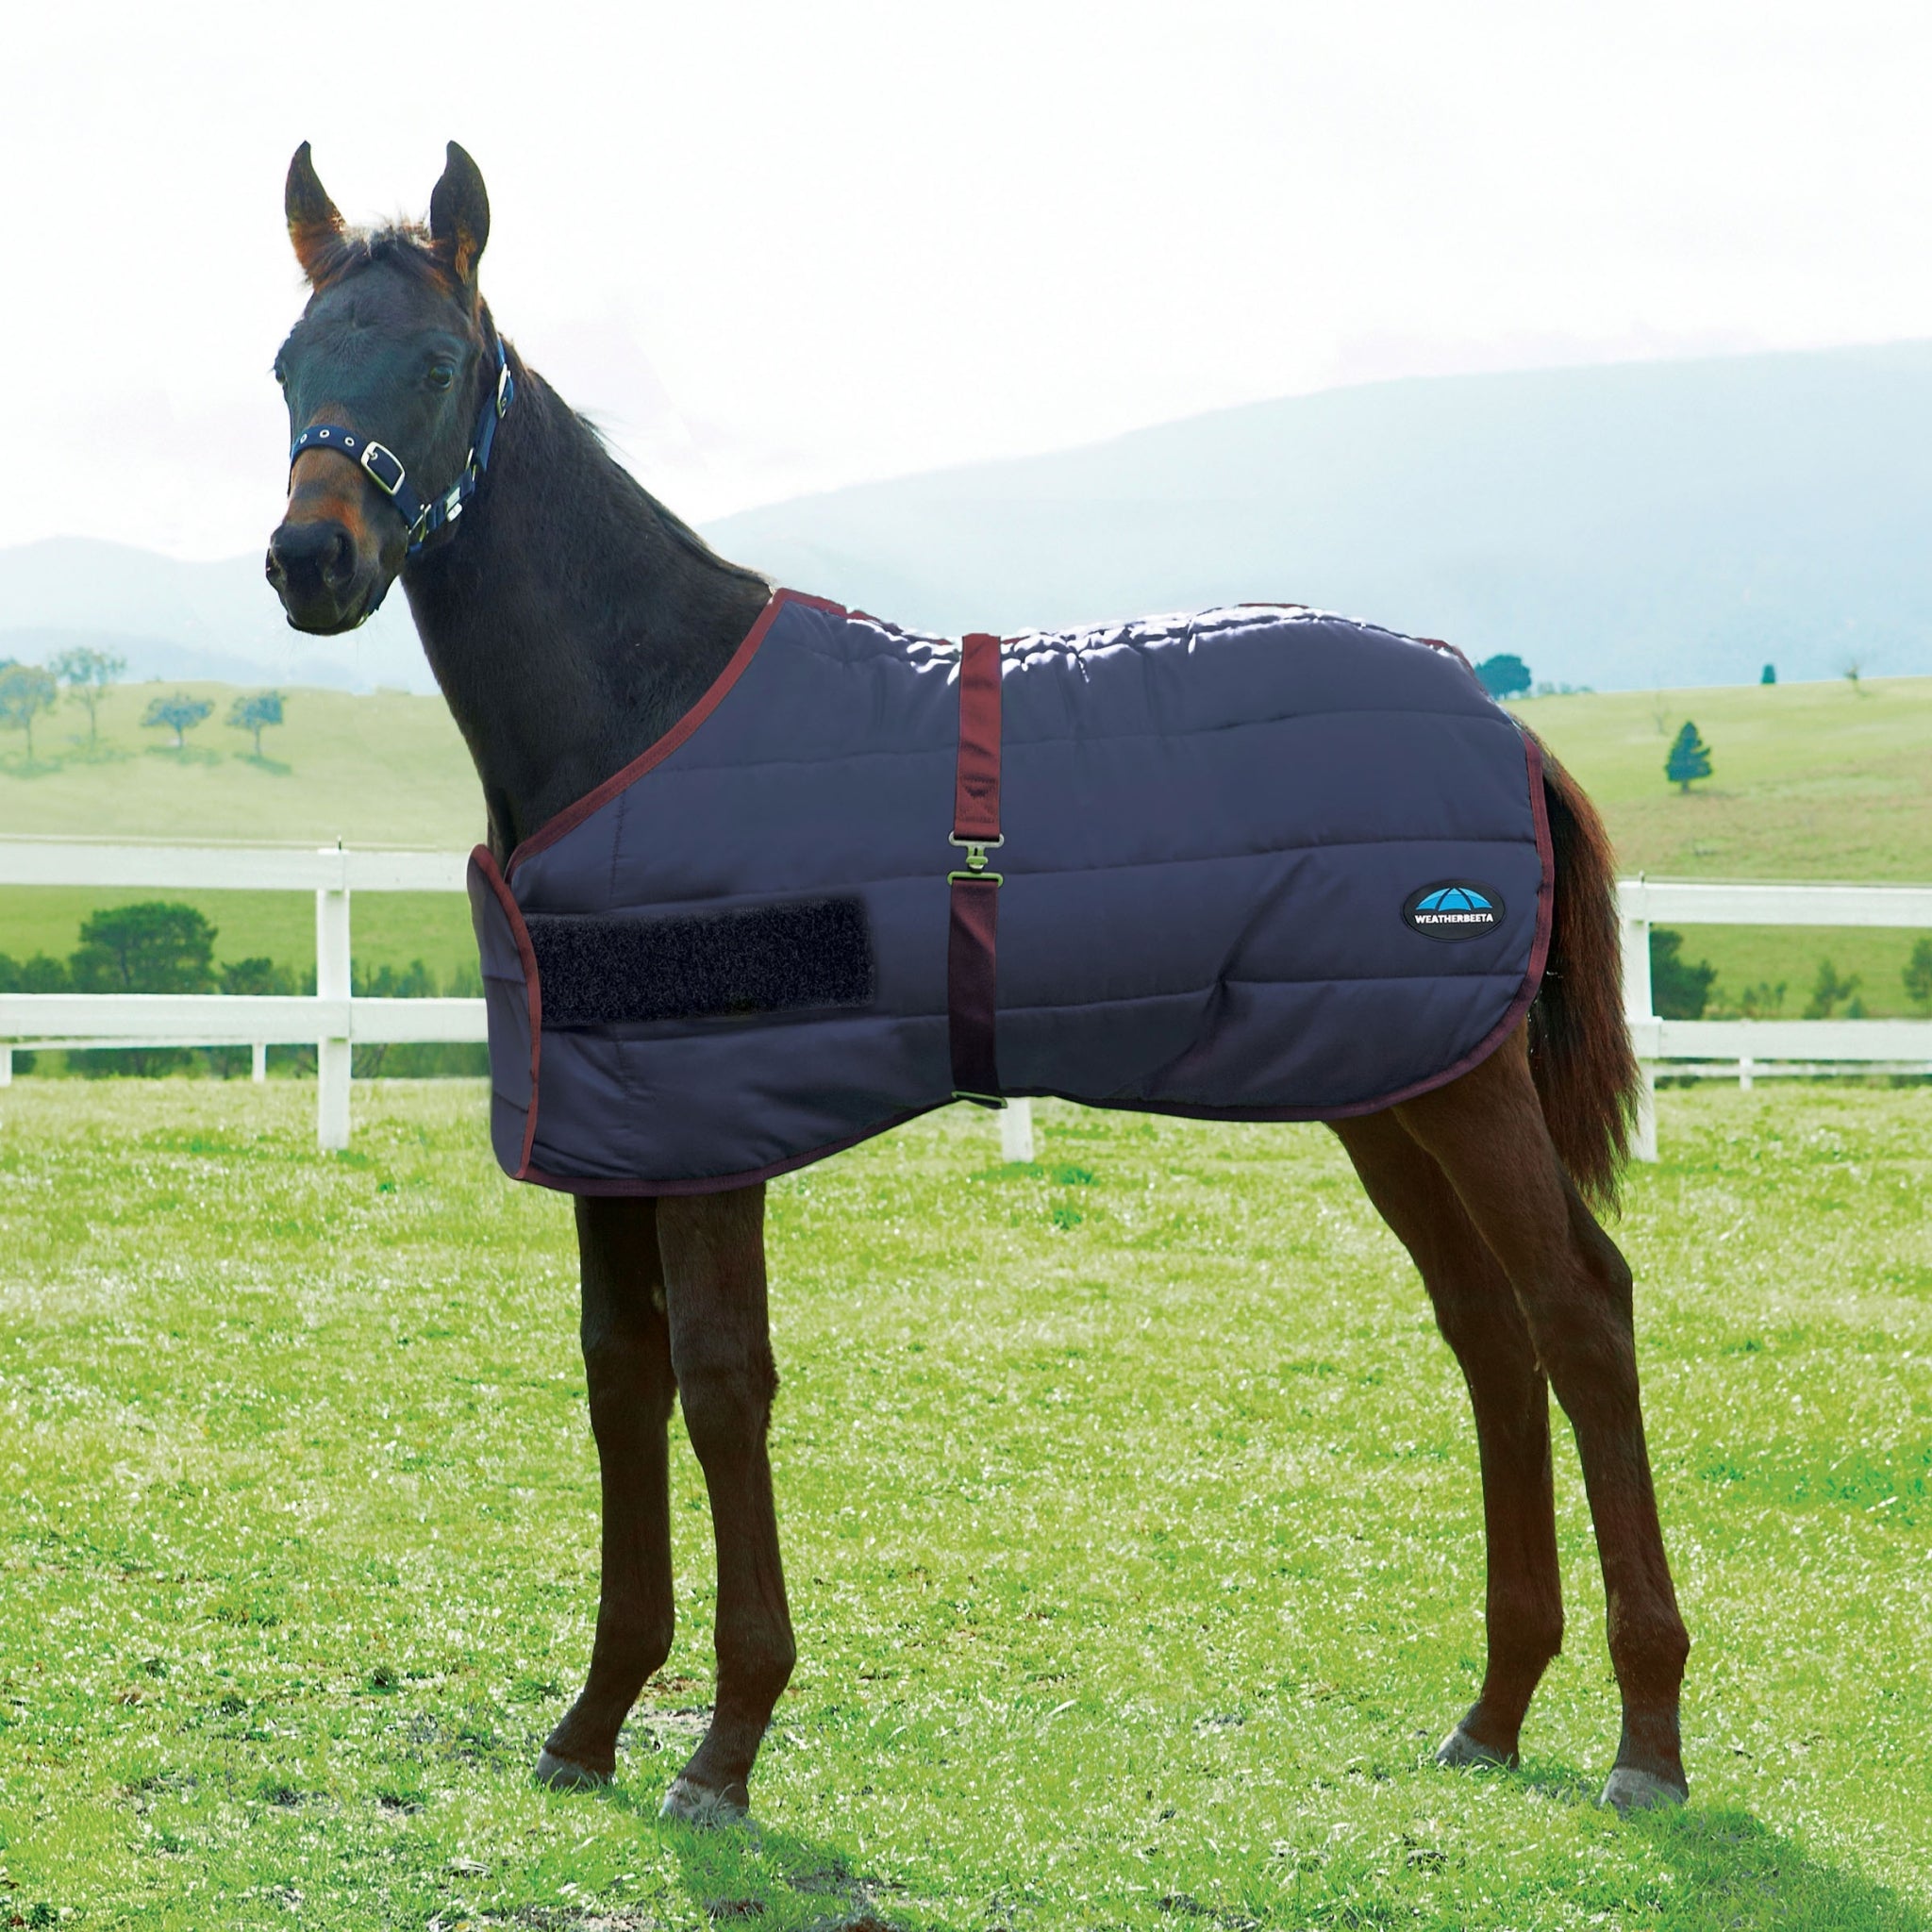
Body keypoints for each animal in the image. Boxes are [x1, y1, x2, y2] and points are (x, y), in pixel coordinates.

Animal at [265, 141, 1690, 1824]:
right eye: (287, 362)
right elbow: (622, 1386)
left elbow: (721, 1387)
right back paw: (1496, 1708)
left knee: (1580, 1310)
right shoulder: (614, 1138)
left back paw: (1648, 1739)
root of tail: (1500, 720)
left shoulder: (712, 1139)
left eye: (435, 364)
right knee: (1489, 1332)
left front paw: (726, 1744)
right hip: (1388, 1088)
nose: (312, 562)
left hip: (1462, 1092)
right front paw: (596, 1719)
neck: (645, 707)